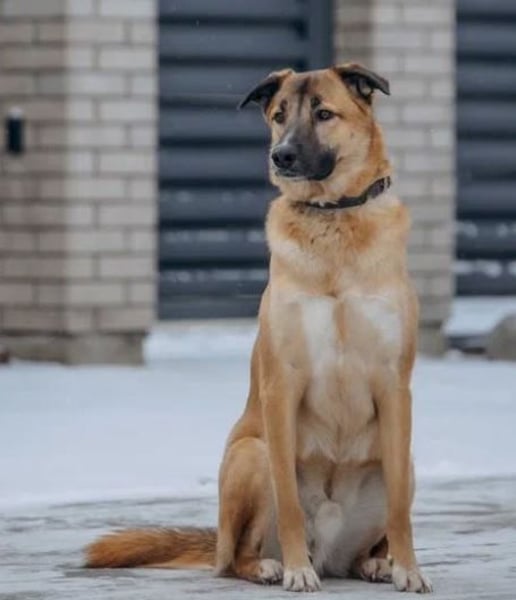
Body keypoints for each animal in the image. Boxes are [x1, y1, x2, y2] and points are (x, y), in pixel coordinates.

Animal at [85, 64, 432, 594]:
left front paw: (407, 569)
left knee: (367, 540)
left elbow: (399, 508)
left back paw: (375, 563)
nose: (281, 155)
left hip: (408, 463)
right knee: (236, 558)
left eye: (324, 114)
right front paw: (295, 570)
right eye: (278, 115)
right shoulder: (282, 385)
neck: (332, 216)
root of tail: (329, 554)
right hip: (252, 452)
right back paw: (272, 565)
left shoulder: (394, 387)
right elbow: (287, 500)